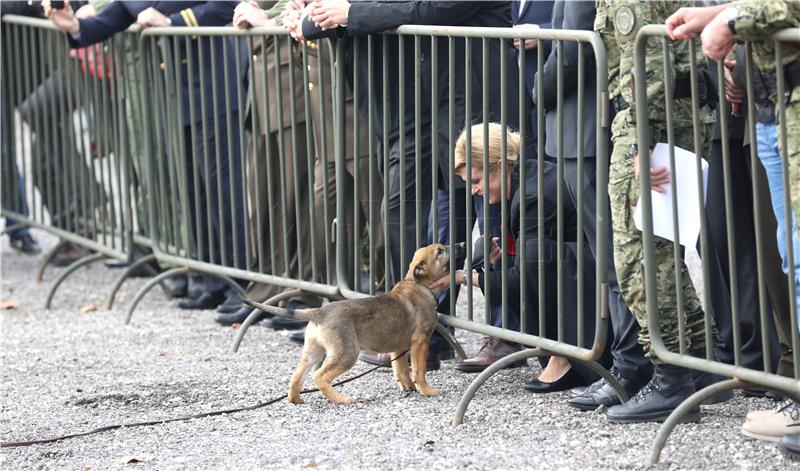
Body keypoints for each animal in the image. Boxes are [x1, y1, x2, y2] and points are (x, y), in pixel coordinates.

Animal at [286, 243, 466, 406]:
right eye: (440, 251)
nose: (462, 244)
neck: (420, 286)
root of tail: (319, 312)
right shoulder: (421, 341)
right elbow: (418, 370)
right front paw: (426, 390)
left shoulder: (398, 348)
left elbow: (401, 370)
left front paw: (409, 387)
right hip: (346, 353)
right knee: (319, 377)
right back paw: (342, 400)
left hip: (313, 351)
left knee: (297, 375)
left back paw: (295, 399)